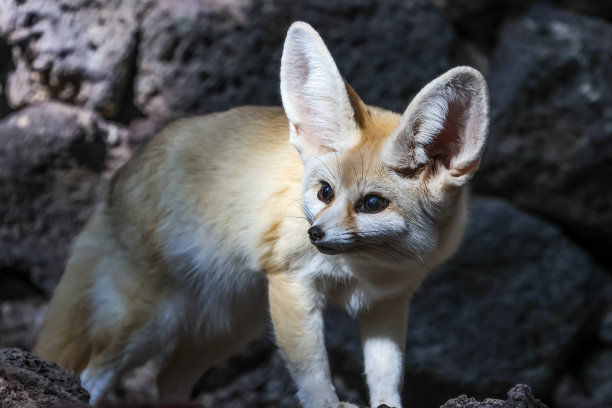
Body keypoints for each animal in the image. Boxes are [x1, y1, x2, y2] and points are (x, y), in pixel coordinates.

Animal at [37, 21, 488, 408]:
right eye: (325, 193)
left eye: (372, 204)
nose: (315, 235)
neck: (367, 268)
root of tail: (117, 180)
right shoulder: (292, 284)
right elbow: (314, 375)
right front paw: (327, 402)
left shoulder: (388, 302)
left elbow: (386, 377)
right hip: (149, 323)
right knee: (94, 374)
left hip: (231, 329)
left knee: (166, 381)